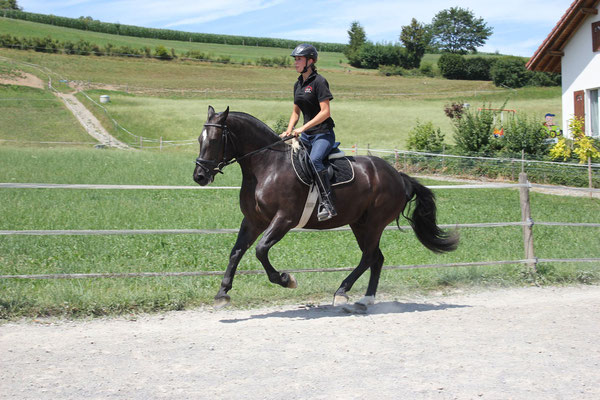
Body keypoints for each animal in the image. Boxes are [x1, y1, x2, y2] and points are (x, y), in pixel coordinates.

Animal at [195, 106, 458, 310]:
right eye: (199, 140)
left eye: (215, 140)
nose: (199, 176)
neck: (267, 166)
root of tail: (398, 175)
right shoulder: (253, 221)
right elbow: (236, 252)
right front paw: (222, 294)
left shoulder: (284, 219)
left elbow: (260, 250)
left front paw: (286, 279)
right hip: (360, 224)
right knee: (376, 258)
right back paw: (365, 299)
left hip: (374, 224)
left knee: (369, 256)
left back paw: (342, 292)